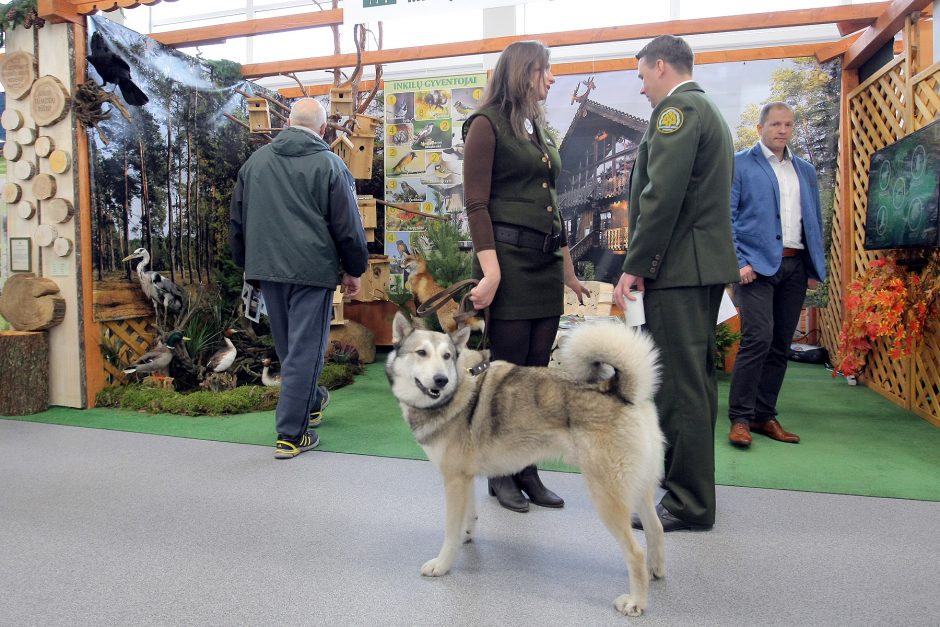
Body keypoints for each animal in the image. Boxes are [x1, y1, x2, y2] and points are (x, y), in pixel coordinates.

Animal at [388, 312, 668, 616]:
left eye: (447, 356)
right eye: (421, 353)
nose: (440, 379)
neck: (461, 383)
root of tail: (621, 391)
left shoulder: (454, 479)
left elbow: (450, 532)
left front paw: (442, 565)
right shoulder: (465, 478)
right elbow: (468, 516)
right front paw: (467, 536)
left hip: (607, 496)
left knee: (635, 553)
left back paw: (636, 602)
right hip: (638, 488)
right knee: (655, 529)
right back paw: (655, 571)